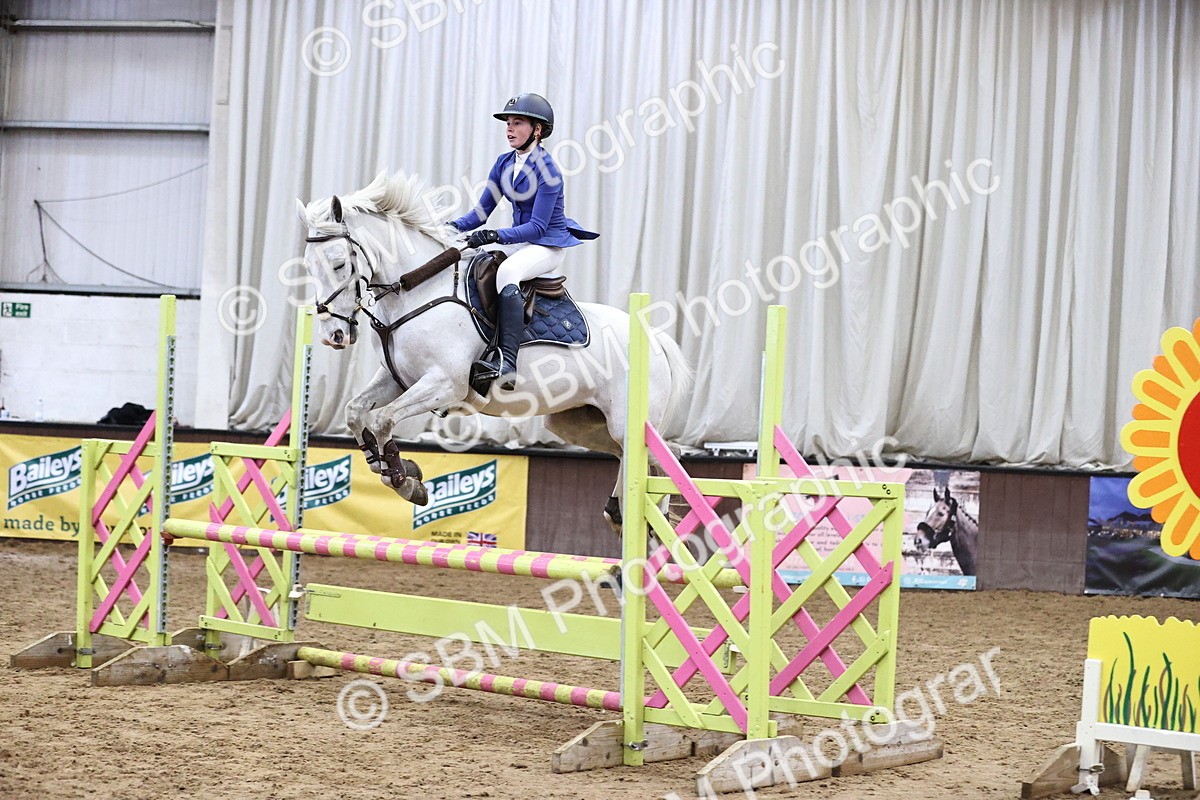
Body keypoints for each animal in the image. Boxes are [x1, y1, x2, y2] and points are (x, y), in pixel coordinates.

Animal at [296, 171, 691, 530]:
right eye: (309, 266)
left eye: (339, 263)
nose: (333, 334)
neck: (417, 291)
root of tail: (654, 339)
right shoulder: (398, 380)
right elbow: (355, 411)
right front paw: (387, 465)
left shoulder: (445, 384)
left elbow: (382, 419)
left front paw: (404, 480)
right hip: (577, 422)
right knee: (648, 455)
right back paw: (618, 513)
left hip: (626, 422)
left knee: (655, 459)